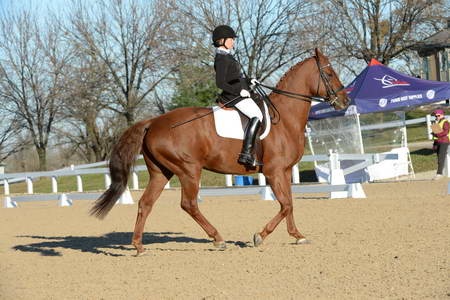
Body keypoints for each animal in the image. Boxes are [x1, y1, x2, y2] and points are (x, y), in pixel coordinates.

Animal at [91, 48, 350, 254]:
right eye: (329, 74)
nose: (344, 102)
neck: (284, 119)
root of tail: (153, 122)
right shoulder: (274, 171)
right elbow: (285, 204)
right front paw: (259, 236)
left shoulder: (285, 171)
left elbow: (289, 204)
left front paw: (297, 235)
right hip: (188, 170)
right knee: (189, 204)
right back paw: (218, 239)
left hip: (161, 172)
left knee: (146, 204)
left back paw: (139, 246)